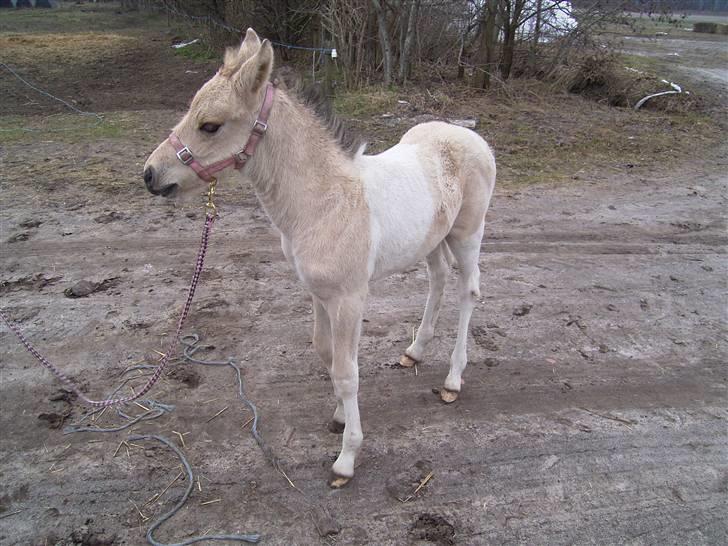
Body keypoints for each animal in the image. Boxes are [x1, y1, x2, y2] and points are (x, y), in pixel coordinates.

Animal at [142, 28, 494, 484]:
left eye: (210, 125)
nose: (150, 174)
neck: (323, 201)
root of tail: (473, 138)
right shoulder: (318, 294)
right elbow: (325, 354)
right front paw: (340, 417)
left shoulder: (349, 299)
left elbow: (346, 371)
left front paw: (347, 457)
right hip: (431, 240)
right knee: (438, 279)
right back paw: (414, 350)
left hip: (467, 233)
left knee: (468, 291)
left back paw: (453, 379)